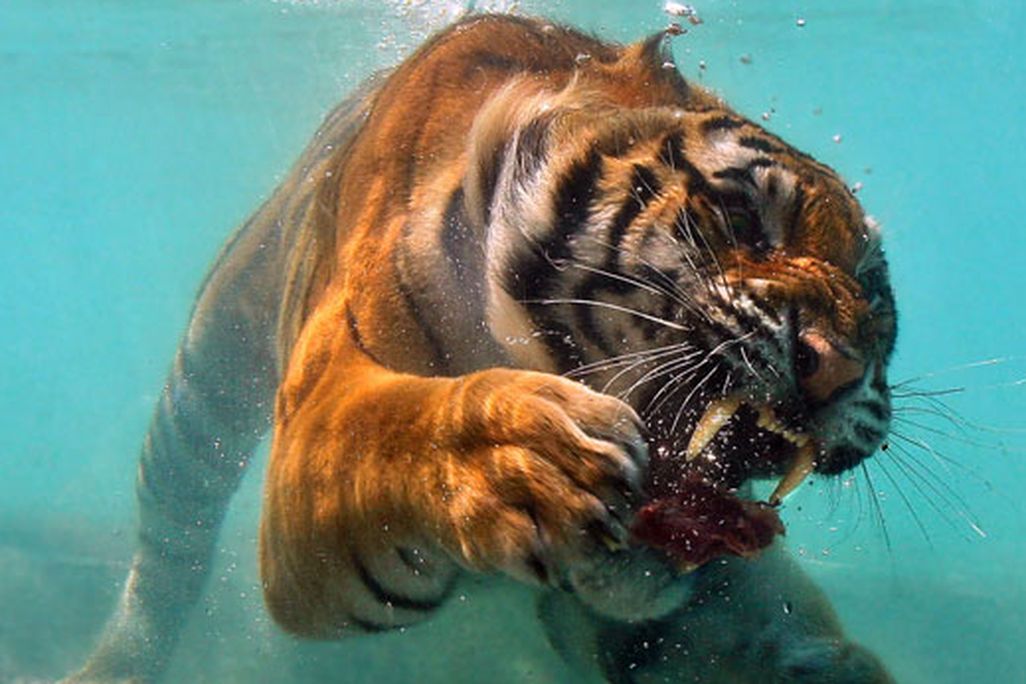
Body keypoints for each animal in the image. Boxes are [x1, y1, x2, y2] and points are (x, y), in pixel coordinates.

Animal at [69, 14, 898, 684]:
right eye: (741, 216)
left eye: (872, 289)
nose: (837, 370)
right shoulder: (318, 411)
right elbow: (387, 430)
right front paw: (526, 462)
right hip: (202, 387)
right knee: (169, 551)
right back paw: (110, 665)